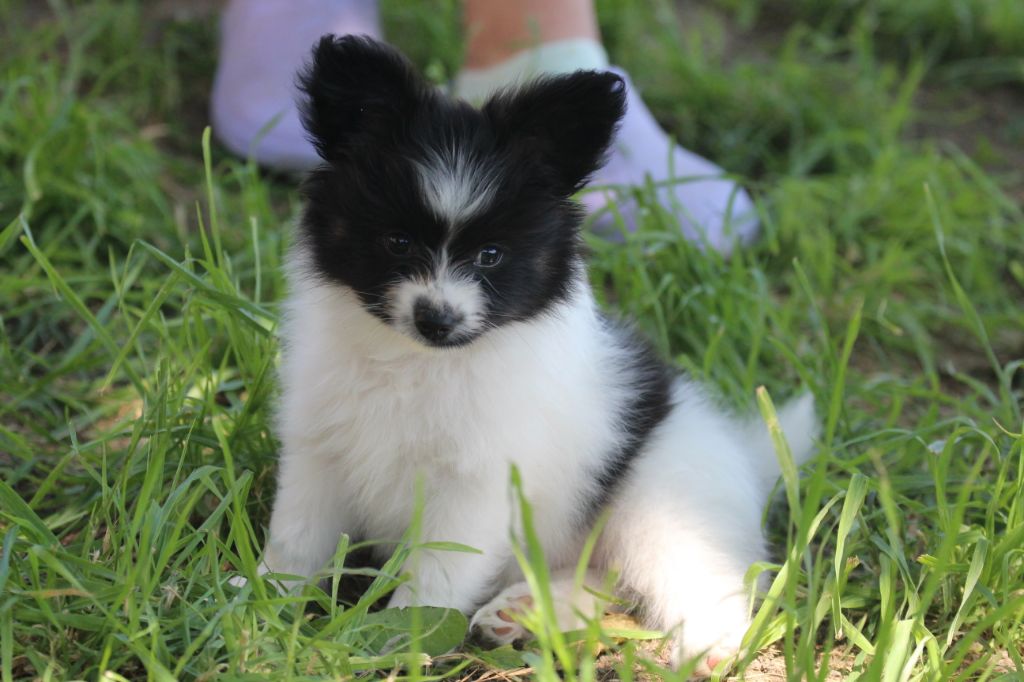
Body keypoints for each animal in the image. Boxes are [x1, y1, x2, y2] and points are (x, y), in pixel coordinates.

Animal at [266, 34, 815, 671]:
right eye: (397, 243)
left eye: (492, 256)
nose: (437, 318)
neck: (419, 362)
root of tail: (741, 450)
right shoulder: (319, 451)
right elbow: (296, 537)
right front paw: (258, 600)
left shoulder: (475, 485)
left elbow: (435, 572)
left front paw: (400, 639)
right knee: (605, 579)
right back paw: (522, 612)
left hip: (666, 501)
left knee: (688, 574)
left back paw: (711, 648)